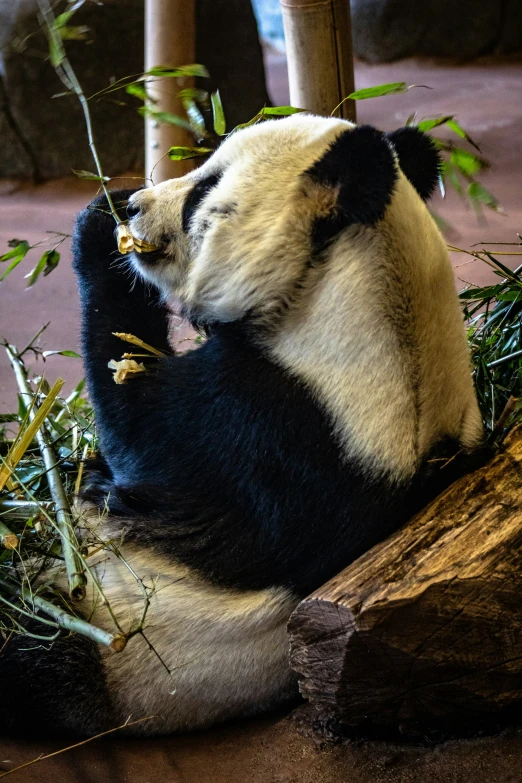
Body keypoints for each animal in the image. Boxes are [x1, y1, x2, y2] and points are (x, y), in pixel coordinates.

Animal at [1, 115, 480, 736]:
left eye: (204, 190)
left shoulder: (276, 427)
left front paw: (100, 227)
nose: (133, 204)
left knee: (34, 647)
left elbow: (139, 424)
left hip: (114, 649)